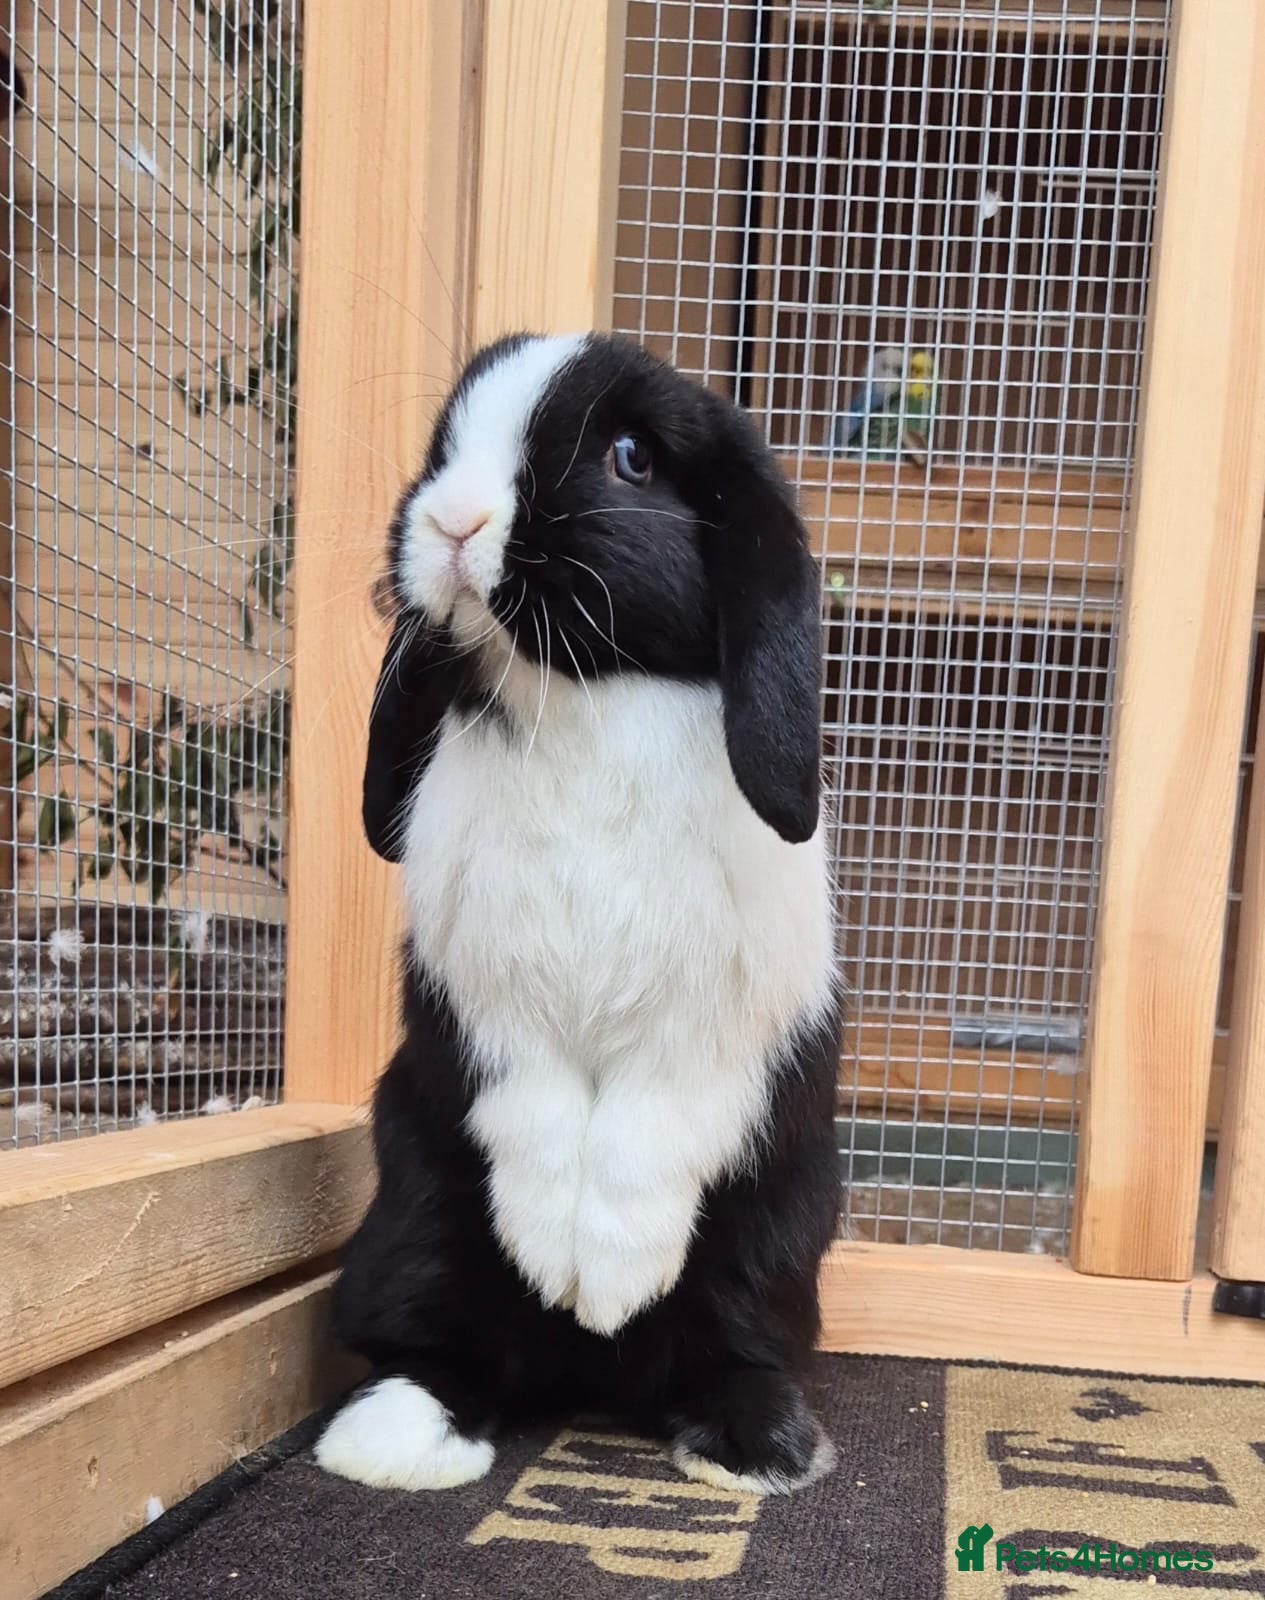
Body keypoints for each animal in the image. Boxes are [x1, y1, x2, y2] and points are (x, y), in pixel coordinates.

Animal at [315, 332, 842, 1498]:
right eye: (442, 445)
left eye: (631, 457)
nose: (453, 521)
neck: (581, 697)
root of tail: (592, 1381)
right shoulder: (488, 1006)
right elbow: (542, 1122)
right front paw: (555, 1258)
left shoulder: (711, 1029)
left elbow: (645, 1139)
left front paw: (607, 1279)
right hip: (413, 1209)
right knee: (433, 1335)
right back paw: (395, 1439)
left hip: (776, 1233)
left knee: (735, 1340)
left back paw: (757, 1446)